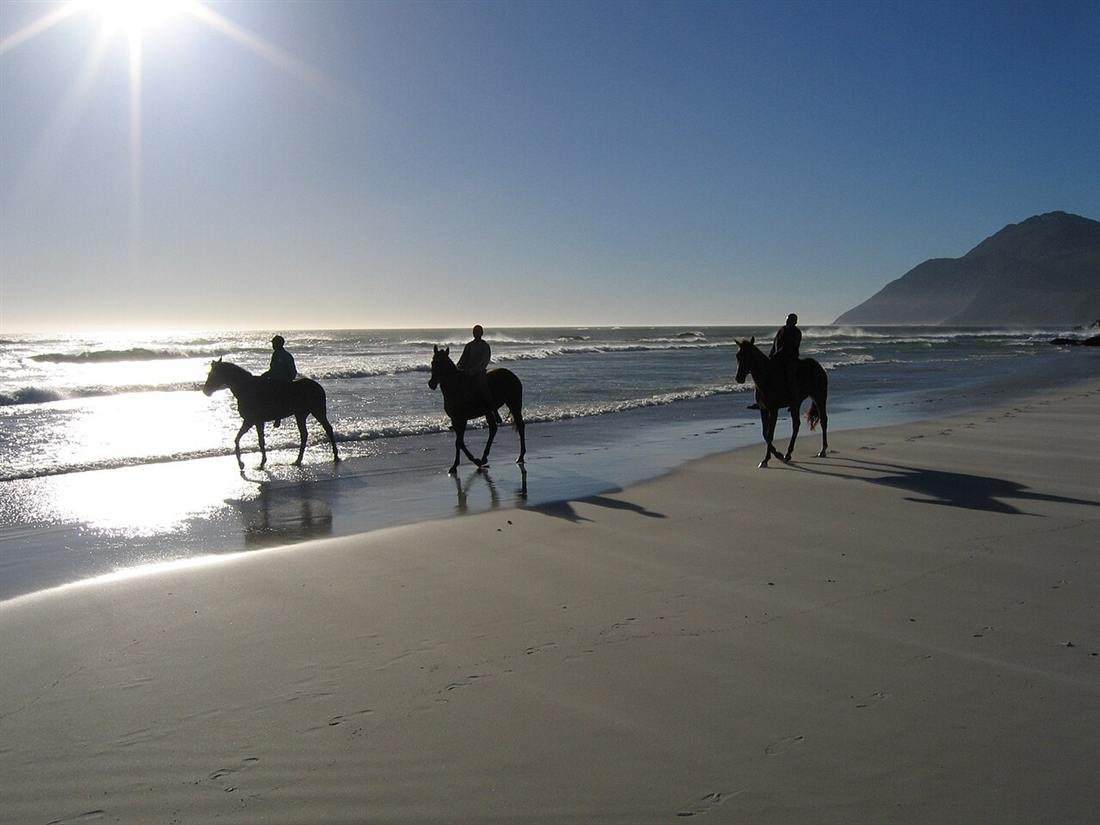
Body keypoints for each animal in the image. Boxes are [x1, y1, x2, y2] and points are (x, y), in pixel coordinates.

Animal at [202, 359, 340, 471]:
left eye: (211, 374)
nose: (205, 391)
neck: (246, 388)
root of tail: (318, 386)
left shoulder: (251, 421)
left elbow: (253, 440)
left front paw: (252, 463)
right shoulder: (255, 421)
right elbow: (245, 440)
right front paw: (251, 463)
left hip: (318, 411)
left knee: (328, 428)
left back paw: (336, 455)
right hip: (300, 415)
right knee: (304, 435)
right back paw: (298, 460)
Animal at [428, 346, 526, 474]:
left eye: (442, 363)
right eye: (433, 362)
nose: (431, 384)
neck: (455, 387)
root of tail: (513, 375)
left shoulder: (462, 419)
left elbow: (458, 442)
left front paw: (458, 465)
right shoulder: (455, 420)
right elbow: (460, 442)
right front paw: (473, 461)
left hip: (514, 404)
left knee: (520, 426)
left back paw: (520, 456)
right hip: (489, 411)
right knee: (493, 428)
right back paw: (484, 457)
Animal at [734, 337, 828, 468]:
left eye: (749, 356)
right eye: (738, 356)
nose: (738, 378)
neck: (767, 379)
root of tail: (819, 367)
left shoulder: (774, 410)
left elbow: (770, 434)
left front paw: (766, 460)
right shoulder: (763, 409)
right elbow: (765, 433)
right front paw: (777, 454)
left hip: (819, 398)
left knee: (823, 420)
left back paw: (822, 450)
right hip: (796, 404)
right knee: (796, 424)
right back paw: (788, 454)